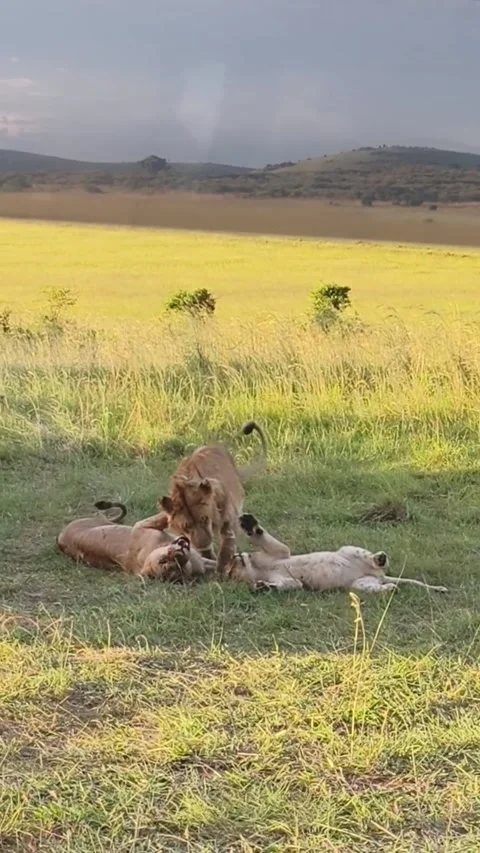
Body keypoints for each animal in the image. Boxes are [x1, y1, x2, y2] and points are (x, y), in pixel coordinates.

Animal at [57, 501, 216, 581]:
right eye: (163, 562)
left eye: (178, 568)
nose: (177, 554)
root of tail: (60, 536)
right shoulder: (143, 525)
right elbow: (168, 515)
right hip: (100, 519)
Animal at [159, 421, 267, 572]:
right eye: (186, 526)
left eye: (204, 519)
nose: (202, 545)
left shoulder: (229, 521)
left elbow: (227, 544)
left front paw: (223, 565)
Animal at [226, 513, 448, 595]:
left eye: (231, 563)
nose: (231, 560)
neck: (258, 570)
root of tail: (379, 576)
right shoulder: (291, 582)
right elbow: (290, 584)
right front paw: (264, 587)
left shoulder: (280, 552)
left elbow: (264, 538)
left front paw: (248, 523)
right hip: (360, 585)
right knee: (380, 586)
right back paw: (390, 588)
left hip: (349, 549)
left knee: (376, 560)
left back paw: (380, 558)